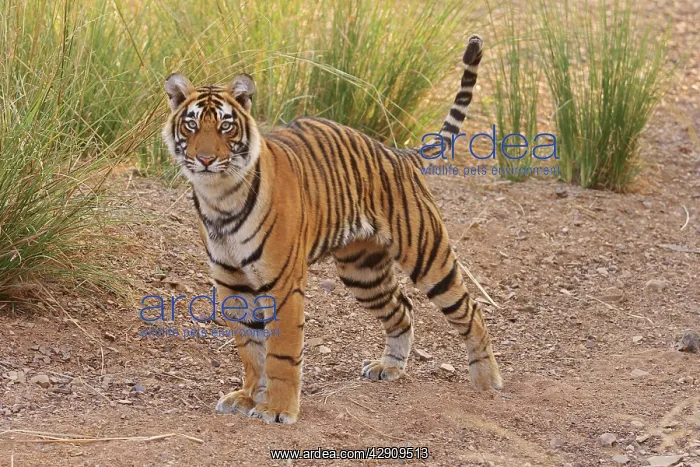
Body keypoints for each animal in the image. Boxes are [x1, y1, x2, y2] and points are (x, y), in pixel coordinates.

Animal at [162, 34, 502, 424]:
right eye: (191, 125)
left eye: (225, 126)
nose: (205, 159)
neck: (219, 197)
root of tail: (396, 153)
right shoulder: (231, 283)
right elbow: (250, 349)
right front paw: (249, 396)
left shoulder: (283, 283)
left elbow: (280, 351)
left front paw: (277, 409)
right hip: (363, 272)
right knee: (402, 308)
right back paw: (390, 367)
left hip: (427, 255)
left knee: (470, 309)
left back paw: (487, 380)